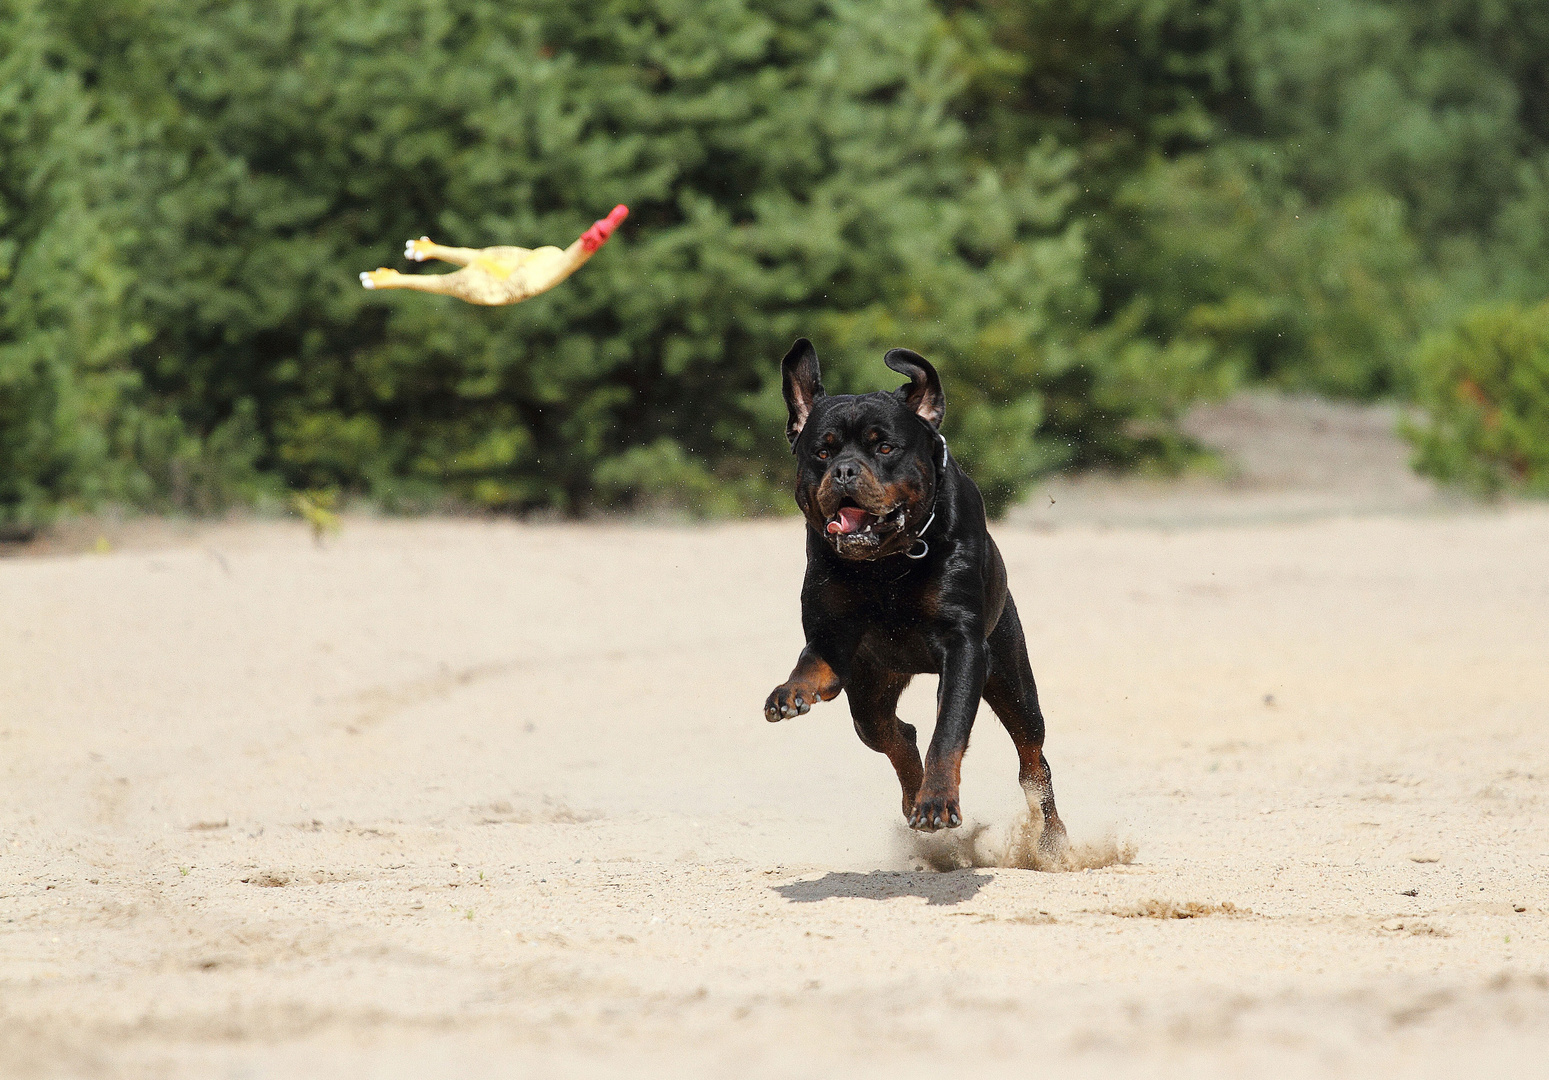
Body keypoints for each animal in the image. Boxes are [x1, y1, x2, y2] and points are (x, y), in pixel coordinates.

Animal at [762, 337, 1065, 849]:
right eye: (821, 452)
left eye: (885, 447)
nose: (844, 470)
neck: (888, 565)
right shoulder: (833, 631)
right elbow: (812, 659)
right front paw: (792, 691)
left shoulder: (964, 647)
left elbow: (949, 731)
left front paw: (937, 801)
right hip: (869, 689)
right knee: (894, 734)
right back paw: (911, 796)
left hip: (1011, 676)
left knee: (1032, 757)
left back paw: (1050, 839)